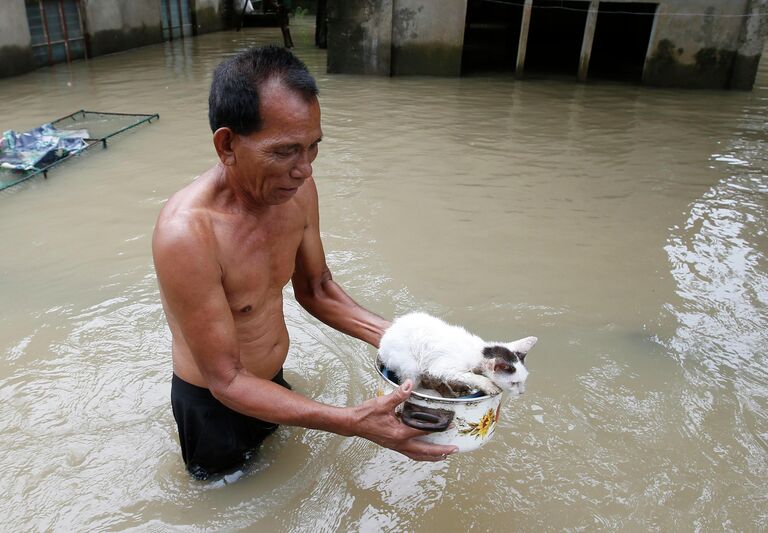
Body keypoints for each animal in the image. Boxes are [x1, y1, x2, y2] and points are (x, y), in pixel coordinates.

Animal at [380, 312, 536, 394]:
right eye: (514, 383)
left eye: (523, 381)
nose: (522, 392)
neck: (480, 353)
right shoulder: (443, 367)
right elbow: (470, 376)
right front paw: (488, 385)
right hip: (409, 365)